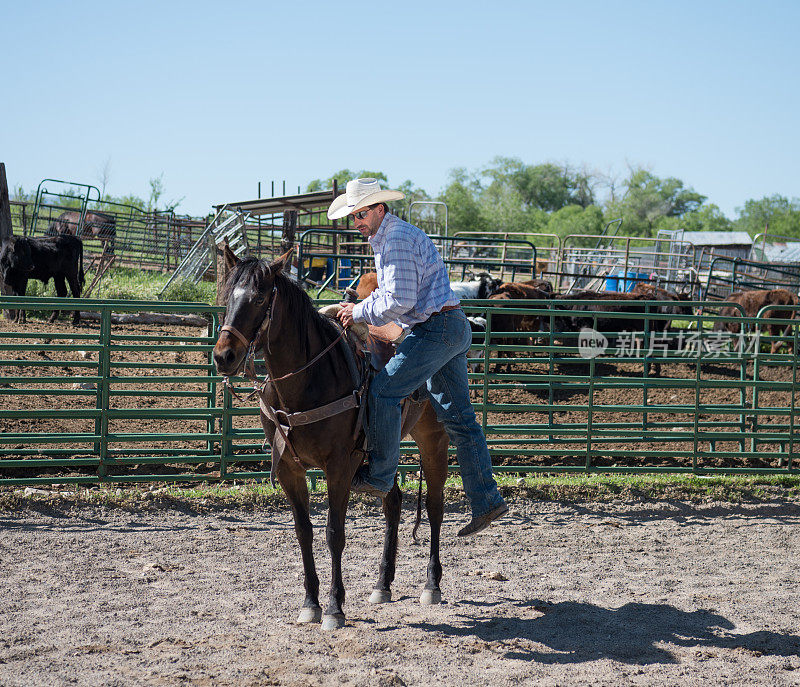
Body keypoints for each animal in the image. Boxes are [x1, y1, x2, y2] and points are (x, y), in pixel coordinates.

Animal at [212, 250, 450, 632]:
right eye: (227, 297)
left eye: (260, 298)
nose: (224, 356)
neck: (308, 379)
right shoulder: (289, 470)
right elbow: (304, 532)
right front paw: (311, 604)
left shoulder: (339, 466)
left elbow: (334, 534)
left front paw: (335, 609)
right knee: (393, 501)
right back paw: (382, 584)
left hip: (433, 438)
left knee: (434, 506)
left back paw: (431, 584)